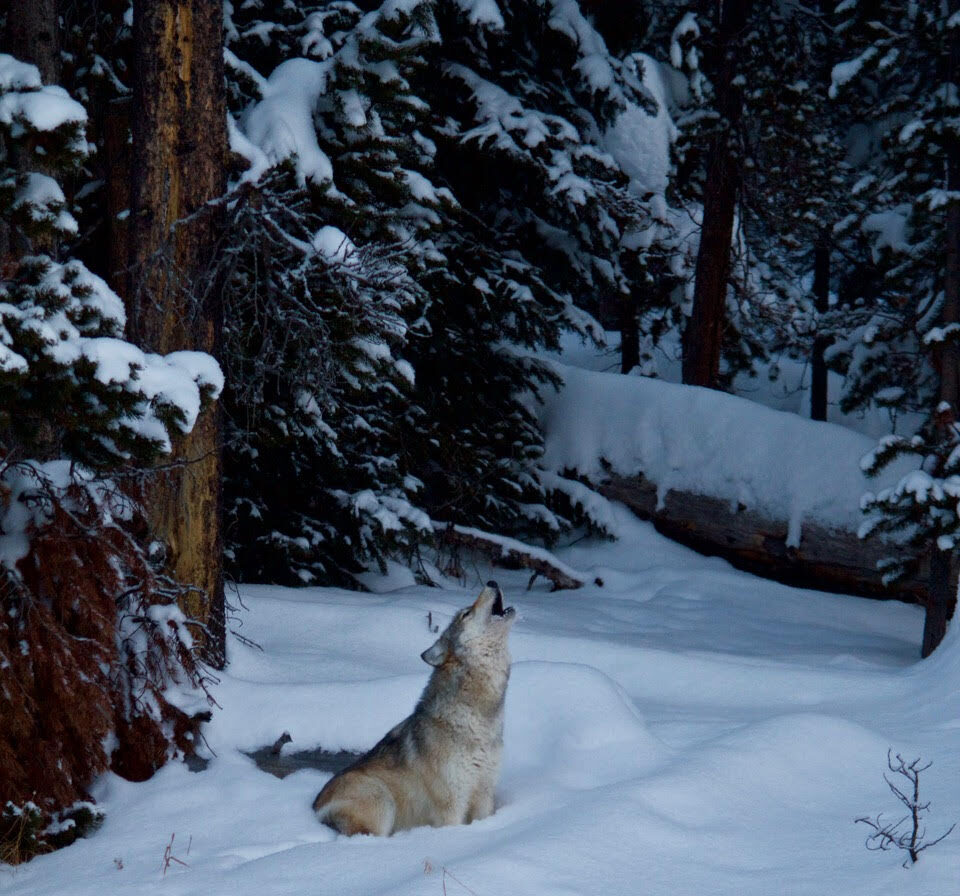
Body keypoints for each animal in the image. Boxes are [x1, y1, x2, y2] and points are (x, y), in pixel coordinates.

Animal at [314, 576, 516, 836]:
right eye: (466, 614)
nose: (492, 581)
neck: (478, 715)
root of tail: (314, 809)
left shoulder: (484, 795)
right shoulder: (452, 805)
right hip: (382, 800)